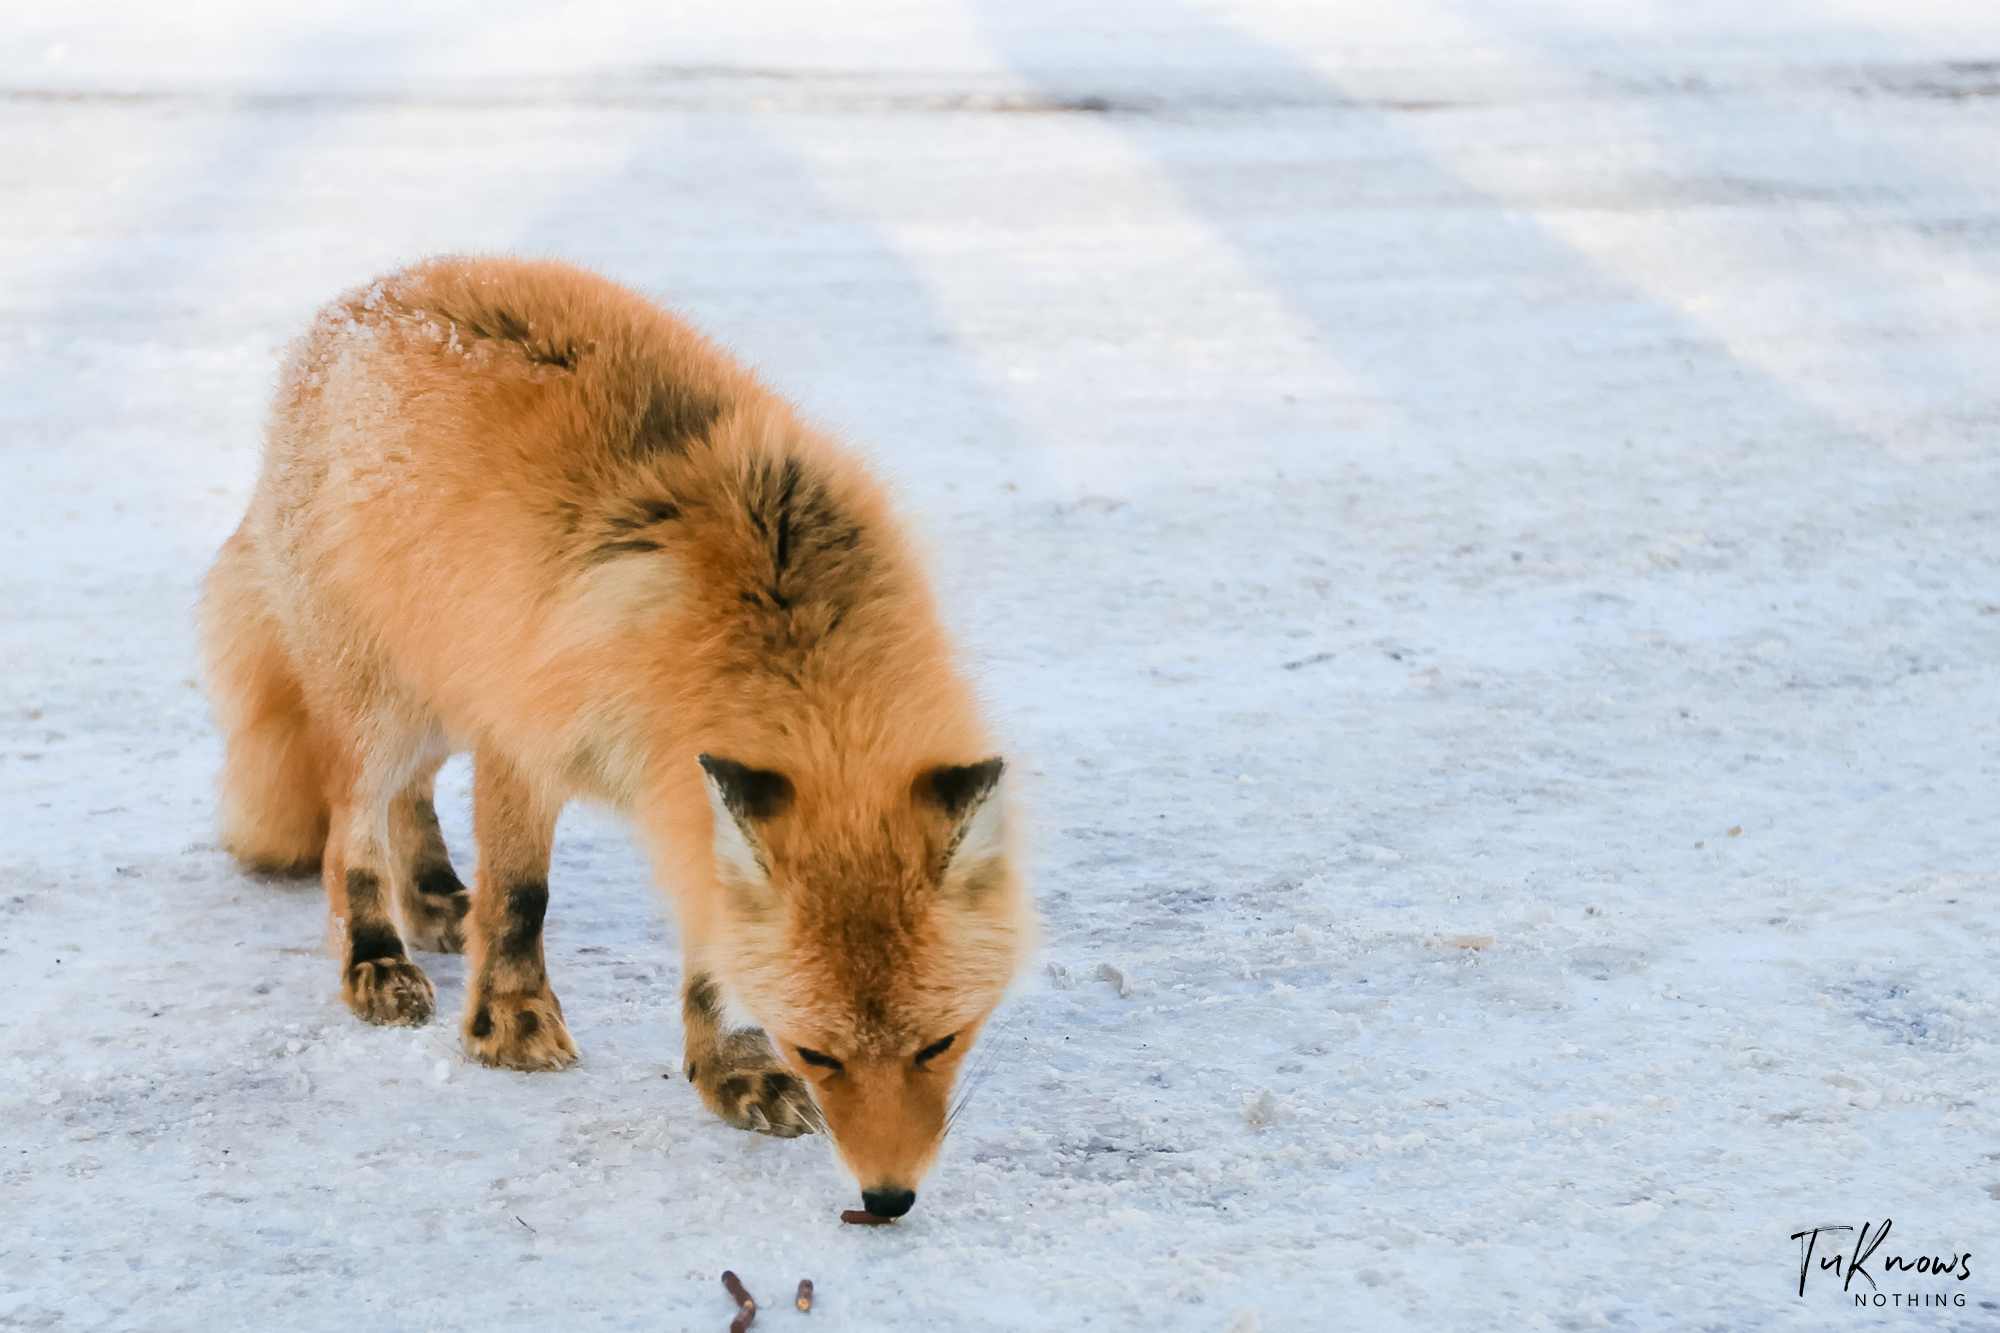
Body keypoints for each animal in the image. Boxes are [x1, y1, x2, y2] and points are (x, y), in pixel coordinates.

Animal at [203, 252, 1032, 1216]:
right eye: (818, 1051)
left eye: (943, 1041)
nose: (889, 1197)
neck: (758, 617)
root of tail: (356, 302)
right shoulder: (525, 735)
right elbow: (521, 899)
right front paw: (509, 1024)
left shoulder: (682, 791)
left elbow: (706, 945)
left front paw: (727, 1069)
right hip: (385, 707)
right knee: (349, 832)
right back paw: (376, 954)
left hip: (438, 695)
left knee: (408, 800)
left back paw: (436, 899)